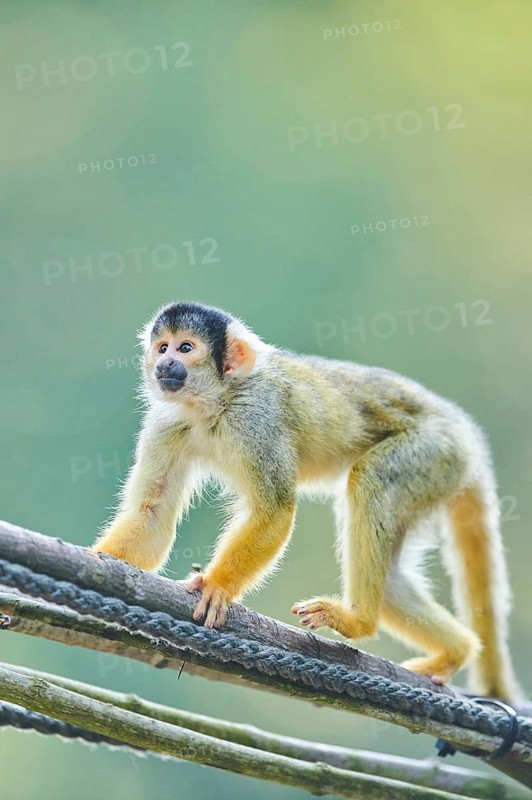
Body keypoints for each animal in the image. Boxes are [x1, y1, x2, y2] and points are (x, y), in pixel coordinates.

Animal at [91, 301, 522, 699]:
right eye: (162, 347)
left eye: (185, 348)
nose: (165, 363)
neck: (215, 402)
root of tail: (463, 430)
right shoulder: (167, 424)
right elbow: (151, 516)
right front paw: (100, 558)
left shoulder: (256, 417)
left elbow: (276, 510)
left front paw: (217, 586)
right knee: (393, 580)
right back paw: (455, 650)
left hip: (435, 449)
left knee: (371, 482)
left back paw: (358, 621)